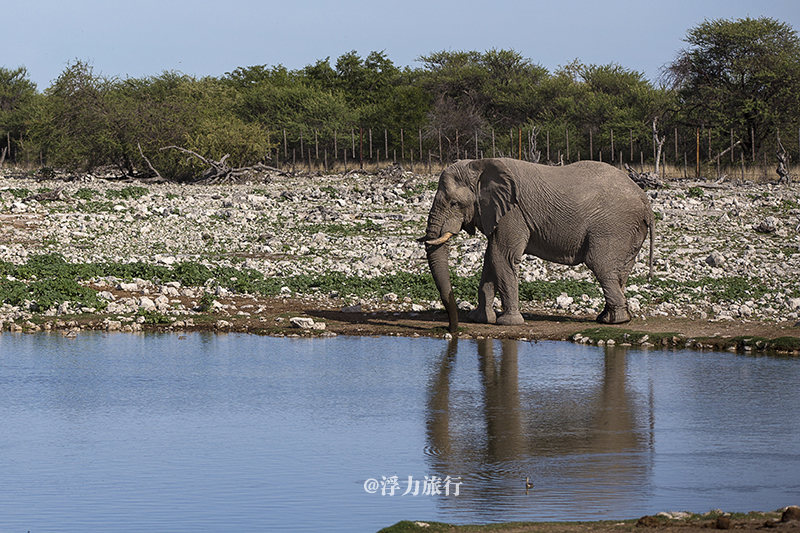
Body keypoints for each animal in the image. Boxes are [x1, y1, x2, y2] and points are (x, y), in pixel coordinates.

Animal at [422, 158, 652, 332]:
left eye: (454, 203)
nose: (451, 329)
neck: (480, 165)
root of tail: (644, 200)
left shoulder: (513, 213)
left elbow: (501, 257)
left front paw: (509, 323)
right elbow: (490, 259)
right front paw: (479, 319)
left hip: (613, 226)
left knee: (600, 264)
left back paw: (615, 321)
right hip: (628, 230)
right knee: (619, 270)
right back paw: (608, 317)